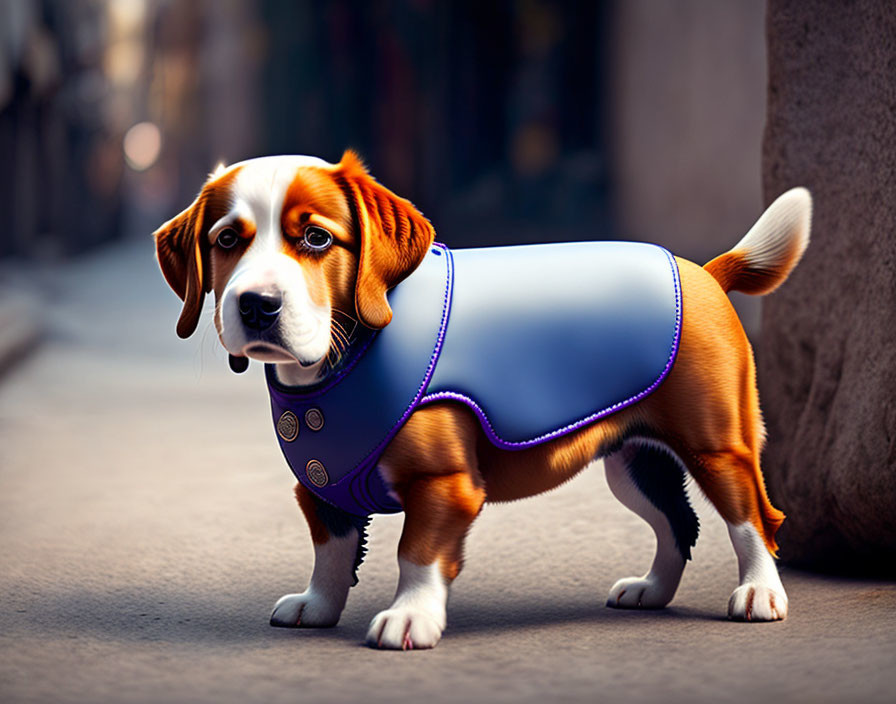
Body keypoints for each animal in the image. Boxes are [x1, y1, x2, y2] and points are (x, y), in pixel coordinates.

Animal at [154, 151, 812, 652]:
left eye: (316, 238)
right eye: (226, 240)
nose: (257, 304)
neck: (343, 362)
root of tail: (699, 271)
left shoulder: (443, 485)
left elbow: (416, 553)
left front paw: (411, 617)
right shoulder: (321, 486)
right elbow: (332, 551)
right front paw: (318, 605)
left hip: (715, 448)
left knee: (753, 517)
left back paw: (760, 592)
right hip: (632, 462)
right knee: (678, 519)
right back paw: (653, 591)